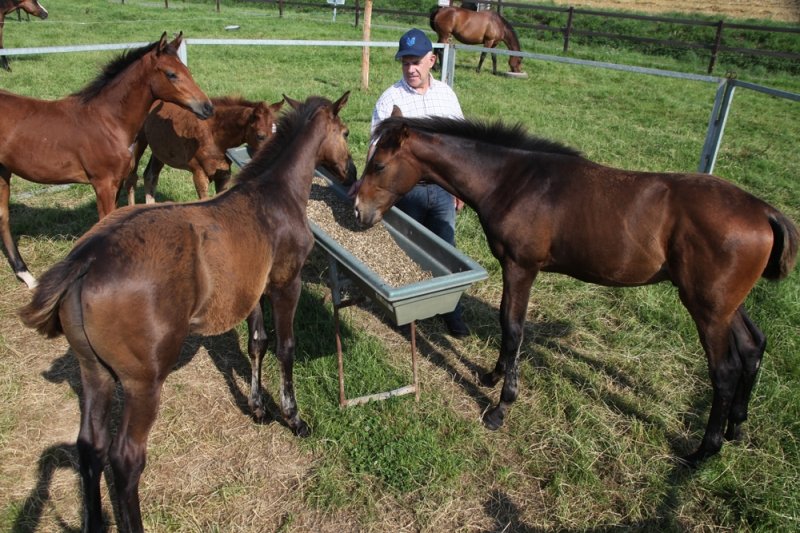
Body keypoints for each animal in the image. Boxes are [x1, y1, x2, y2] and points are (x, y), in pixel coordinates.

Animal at [0, 32, 213, 289]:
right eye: (171, 74)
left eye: (186, 70)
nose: (207, 107)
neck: (108, 121)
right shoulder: (103, 184)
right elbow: (104, 220)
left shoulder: (117, 182)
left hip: (3, 171)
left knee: (3, 217)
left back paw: (27, 276)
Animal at [124, 96, 285, 205]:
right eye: (260, 136)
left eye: (277, 132)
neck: (214, 135)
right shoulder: (199, 173)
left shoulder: (224, 174)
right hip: (139, 142)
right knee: (132, 177)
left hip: (159, 151)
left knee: (150, 176)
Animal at [352, 109, 799, 466]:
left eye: (379, 165)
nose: (358, 211)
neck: (513, 181)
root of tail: (764, 211)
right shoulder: (513, 268)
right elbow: (506, 325)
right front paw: (492, 376)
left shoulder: (521, 268)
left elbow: (513, 327)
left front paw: (501, 407)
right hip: (725, 304)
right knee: (753, 345)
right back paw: (736, 428)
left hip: (706, 308)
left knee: (724, 370)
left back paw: (704, 451)